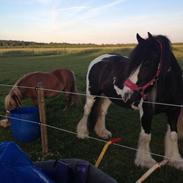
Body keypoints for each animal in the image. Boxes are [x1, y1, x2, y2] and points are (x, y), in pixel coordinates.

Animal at [76, 32, 183, 169]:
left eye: (148, 63)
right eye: (133, 64)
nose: (127, 94)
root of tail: (98, 59)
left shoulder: (174, 112)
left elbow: (173, 136)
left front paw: (175, 160)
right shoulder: (146, 113)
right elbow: (146, 137)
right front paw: (145, 161)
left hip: (107, 97)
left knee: (101, 112)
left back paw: (102, 132)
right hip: (92, 94)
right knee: (87, 111)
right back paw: (82, 133)